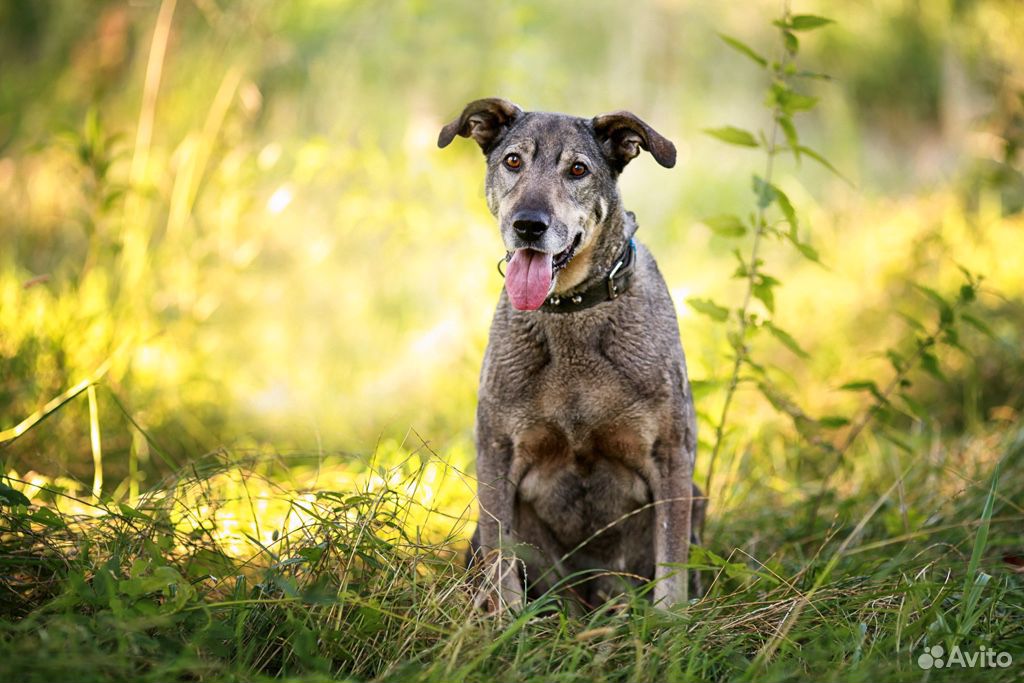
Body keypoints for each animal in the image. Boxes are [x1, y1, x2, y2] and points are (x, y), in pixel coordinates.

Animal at [440, 98, 704, 610]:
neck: (570, 312)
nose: (528, 224)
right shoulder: (496, 454)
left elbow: (671, 564)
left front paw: (670, 622)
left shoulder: (670, 456)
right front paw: (505, 620)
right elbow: (501, 559)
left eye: (578, 169)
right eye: (513, 161)